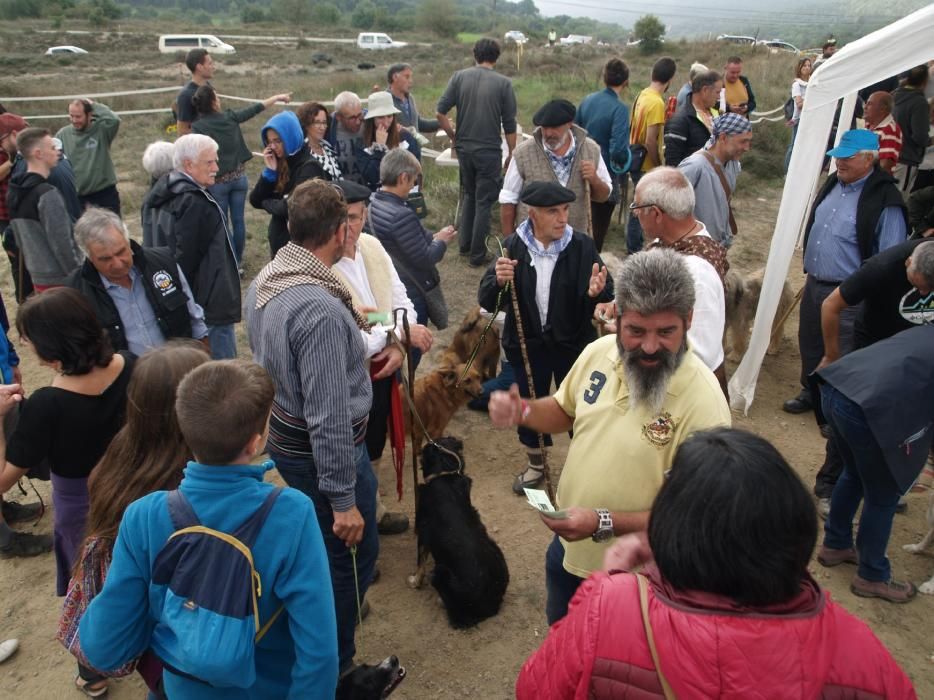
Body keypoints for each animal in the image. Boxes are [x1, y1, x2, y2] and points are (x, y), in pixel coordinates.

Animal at [412, 438, 512, 628]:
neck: (445, 474)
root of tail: (491, 606)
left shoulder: (422, 531)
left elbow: (420, 561)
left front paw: (415, 582)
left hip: (440, 571)